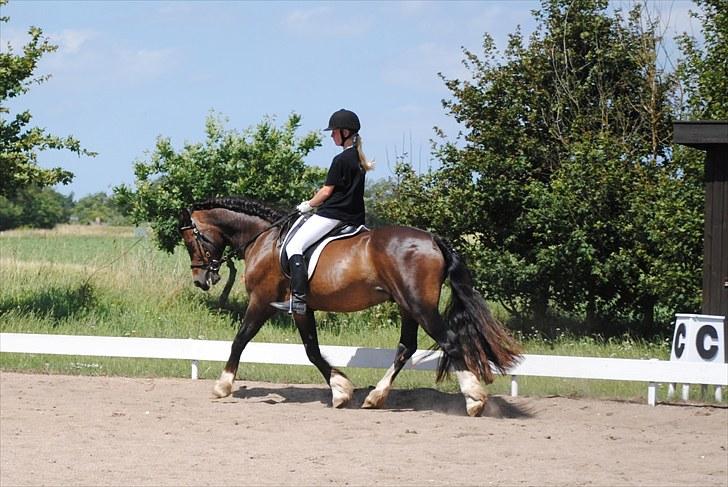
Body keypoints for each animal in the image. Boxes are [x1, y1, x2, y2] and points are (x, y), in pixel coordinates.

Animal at [181, 196, 524, 418]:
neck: (264, 238)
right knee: (406, 347)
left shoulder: (263, 301)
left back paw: (474, 400)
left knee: (449, 342)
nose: (201, 279)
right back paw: (375, 397)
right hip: (407, 306)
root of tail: (432, 240)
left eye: (191, 239)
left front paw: (223, 385)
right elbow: (312, 349)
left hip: (419, 305)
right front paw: (341, 389)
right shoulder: (302, 309)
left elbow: (241, 340)